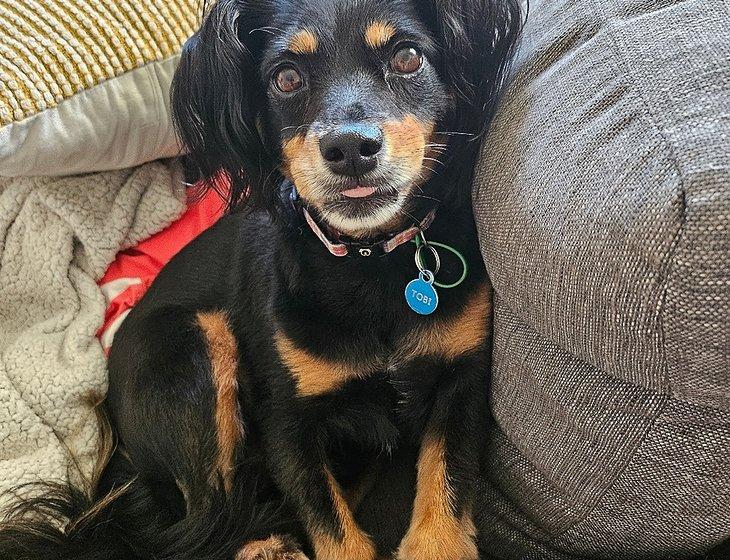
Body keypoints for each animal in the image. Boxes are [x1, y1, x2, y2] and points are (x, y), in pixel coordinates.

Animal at [0, 1, 524, 560]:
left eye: (407, 56)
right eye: (286, 77)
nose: (349, 148)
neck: (368, 259)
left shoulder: (461, 383)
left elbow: (446, 491)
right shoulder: (286, 425)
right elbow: (332, 528)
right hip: (190, 347)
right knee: (205, 516)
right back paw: (265, 544)